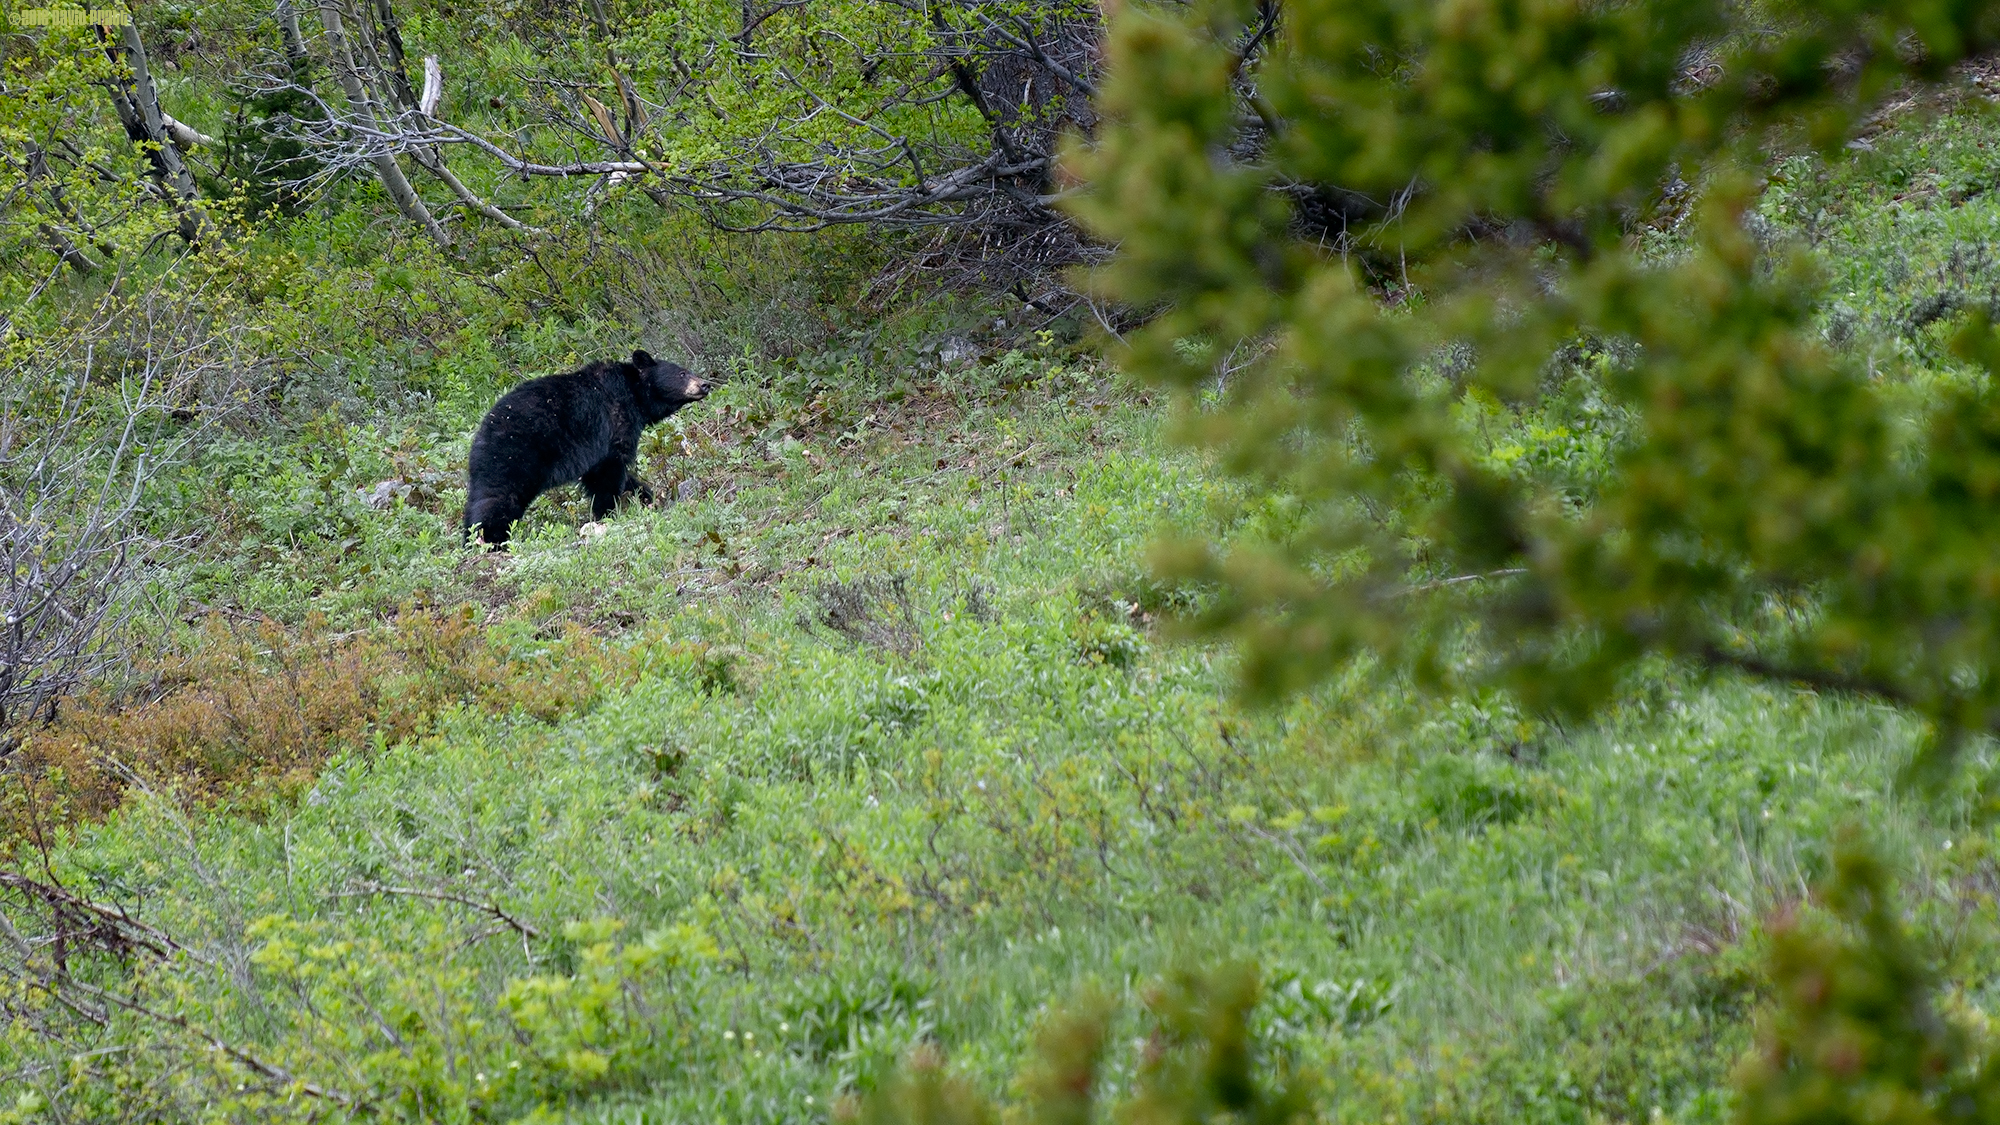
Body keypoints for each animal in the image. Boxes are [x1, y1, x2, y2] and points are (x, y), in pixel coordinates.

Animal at [463, 349, 709, 548]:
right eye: (682, 373)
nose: (705, 384)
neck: (634, 395)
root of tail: (481, 435)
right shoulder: (613, 425)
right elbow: (608, 474)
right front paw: (607, 513)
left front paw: (648, 497)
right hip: (516, 456)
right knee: (498, 497)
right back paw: (491, 540)